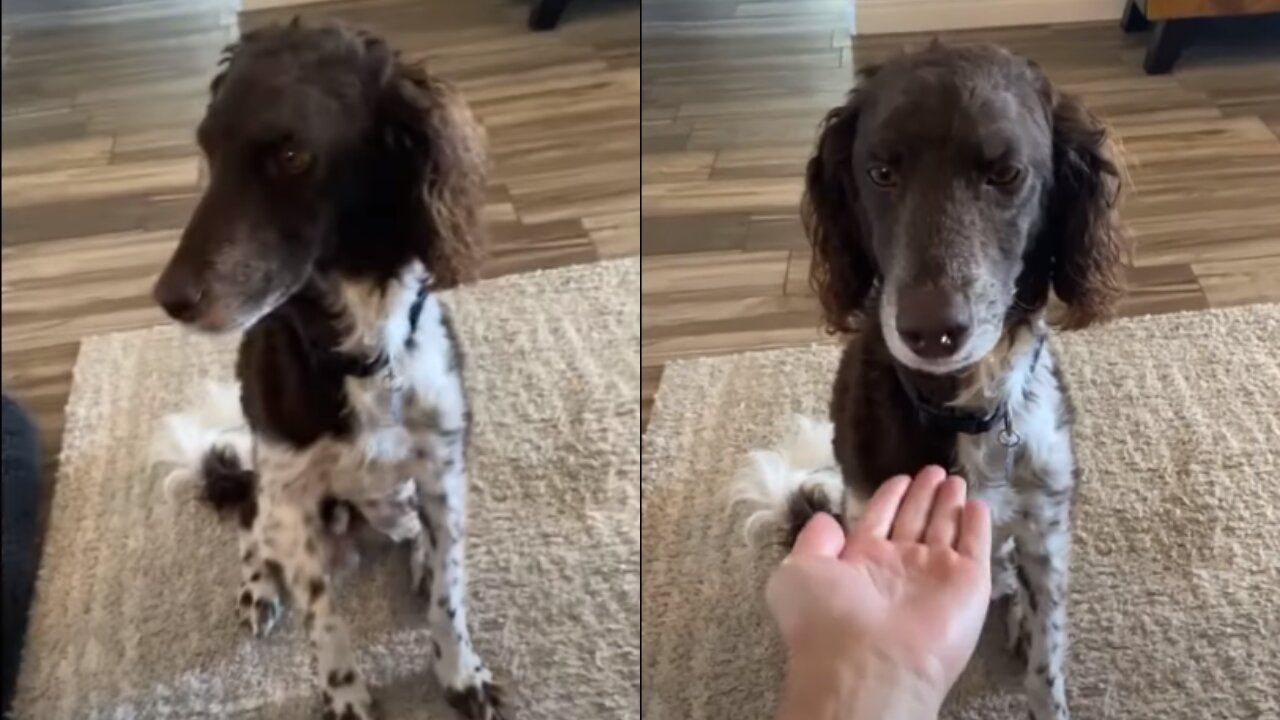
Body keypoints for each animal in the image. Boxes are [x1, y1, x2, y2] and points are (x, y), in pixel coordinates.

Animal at [148, 22, 504, 717]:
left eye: (290, 155)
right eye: (208, 148)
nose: (168, 298)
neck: (365, 352)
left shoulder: (445, 471)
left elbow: (451, 596)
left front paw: (460, 673)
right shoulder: (290, 494)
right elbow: (325, 618)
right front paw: (345, 694)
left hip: (396, 494)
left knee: (407, 531)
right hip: (271, 496)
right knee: (250, 531)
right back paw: (259, 586)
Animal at [737, 41, 1126, 717]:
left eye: (1006, 173)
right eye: (880, 173)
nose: (932, 330)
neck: (970, 408)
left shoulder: (1048, 527)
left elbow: (1047, 664)